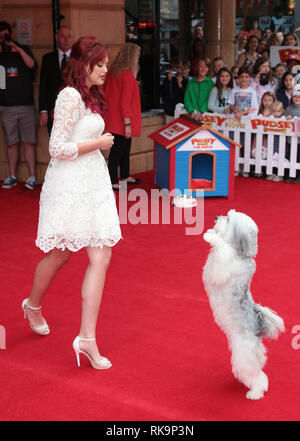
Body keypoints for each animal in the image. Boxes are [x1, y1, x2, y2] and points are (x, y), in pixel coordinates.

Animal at [203, 210, 284, 398]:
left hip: (243, 356)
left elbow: (222, 247)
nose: (216, 217)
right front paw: (211, 232)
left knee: (258, 376)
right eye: (226, 215)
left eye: (228, 219)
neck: (241, 254)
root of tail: (258, 330)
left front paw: (210, 236)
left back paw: (255, 393)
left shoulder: (225, 263)